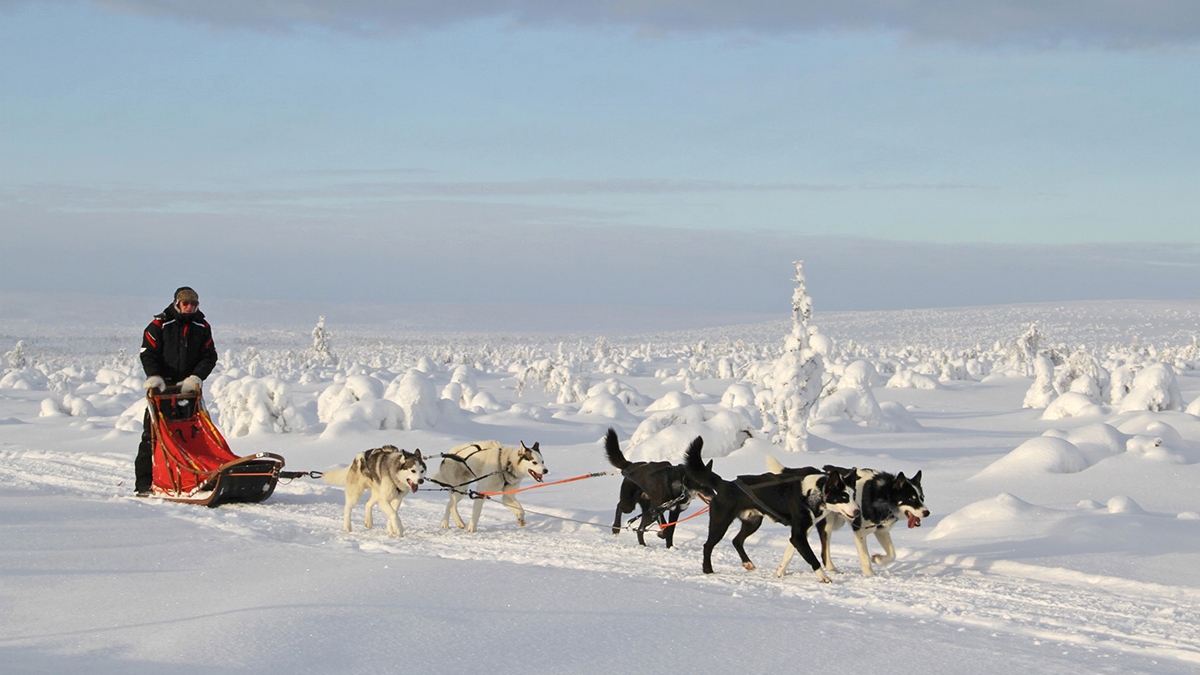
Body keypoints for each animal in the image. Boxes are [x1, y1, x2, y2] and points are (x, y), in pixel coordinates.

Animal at [681, 439, 859, 581]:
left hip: (753, 522)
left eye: (853, 495)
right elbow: (812, 558)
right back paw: (708, 570)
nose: (857, 512)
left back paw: (748, 563)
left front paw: (780, 572)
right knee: (708, 545)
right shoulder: (799, 536)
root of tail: (725, 484)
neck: (812, 493)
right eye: (844, 497)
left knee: (736, 540)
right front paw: (824, 578)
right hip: (720, 523)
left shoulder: (800, 534)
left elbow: (788, 555)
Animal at [768, 456, 926, 578]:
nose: (927, 512)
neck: (880, 494)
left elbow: (892, 554)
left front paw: (878, 559)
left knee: (795, 541)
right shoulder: (860, 532)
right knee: (824, 554)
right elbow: (865, 559)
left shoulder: (881, 531)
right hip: (827, 525)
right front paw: (870, 575)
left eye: (922, 497)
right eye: (911, 499)